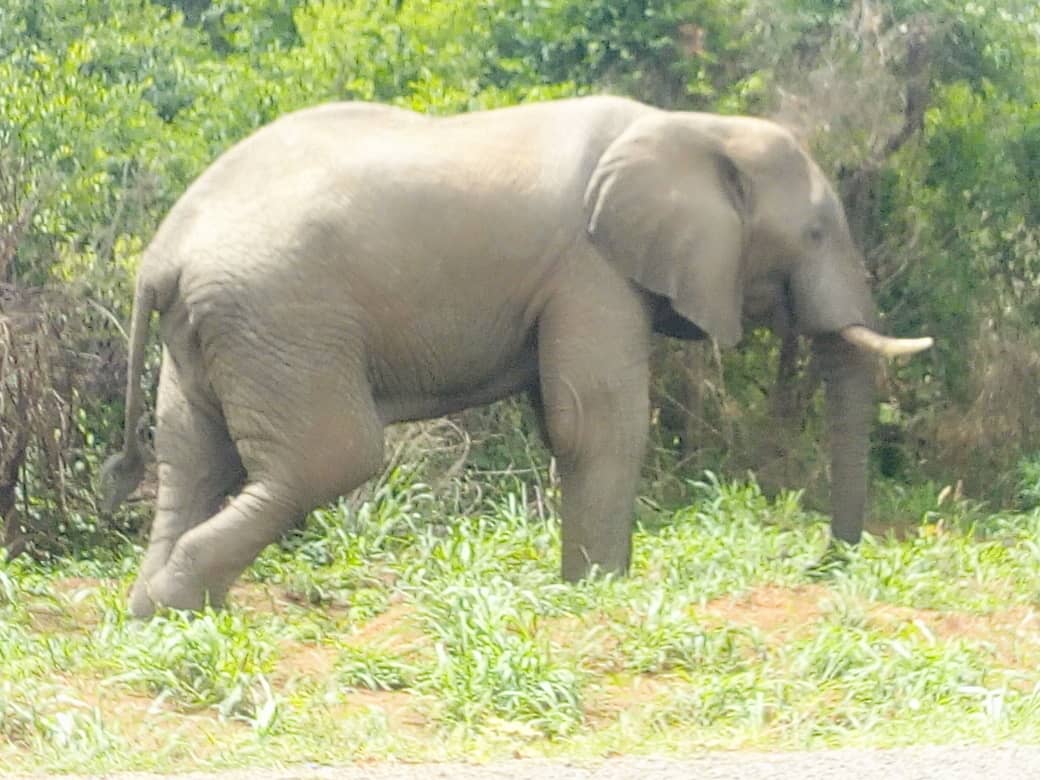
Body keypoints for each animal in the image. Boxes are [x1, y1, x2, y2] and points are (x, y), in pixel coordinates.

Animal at [99, 96, 932, 617]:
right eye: (817, 232)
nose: (826, 566)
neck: (694, 127)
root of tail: (161, 256)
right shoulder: (591, 266)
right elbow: (595, 421)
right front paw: (602, 598)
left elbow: (564, 421)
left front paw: (586, 591)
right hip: (280, 318)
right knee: (331, 459)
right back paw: (181, 604)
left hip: (213, 334)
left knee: (194, 461)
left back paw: (159, 615)